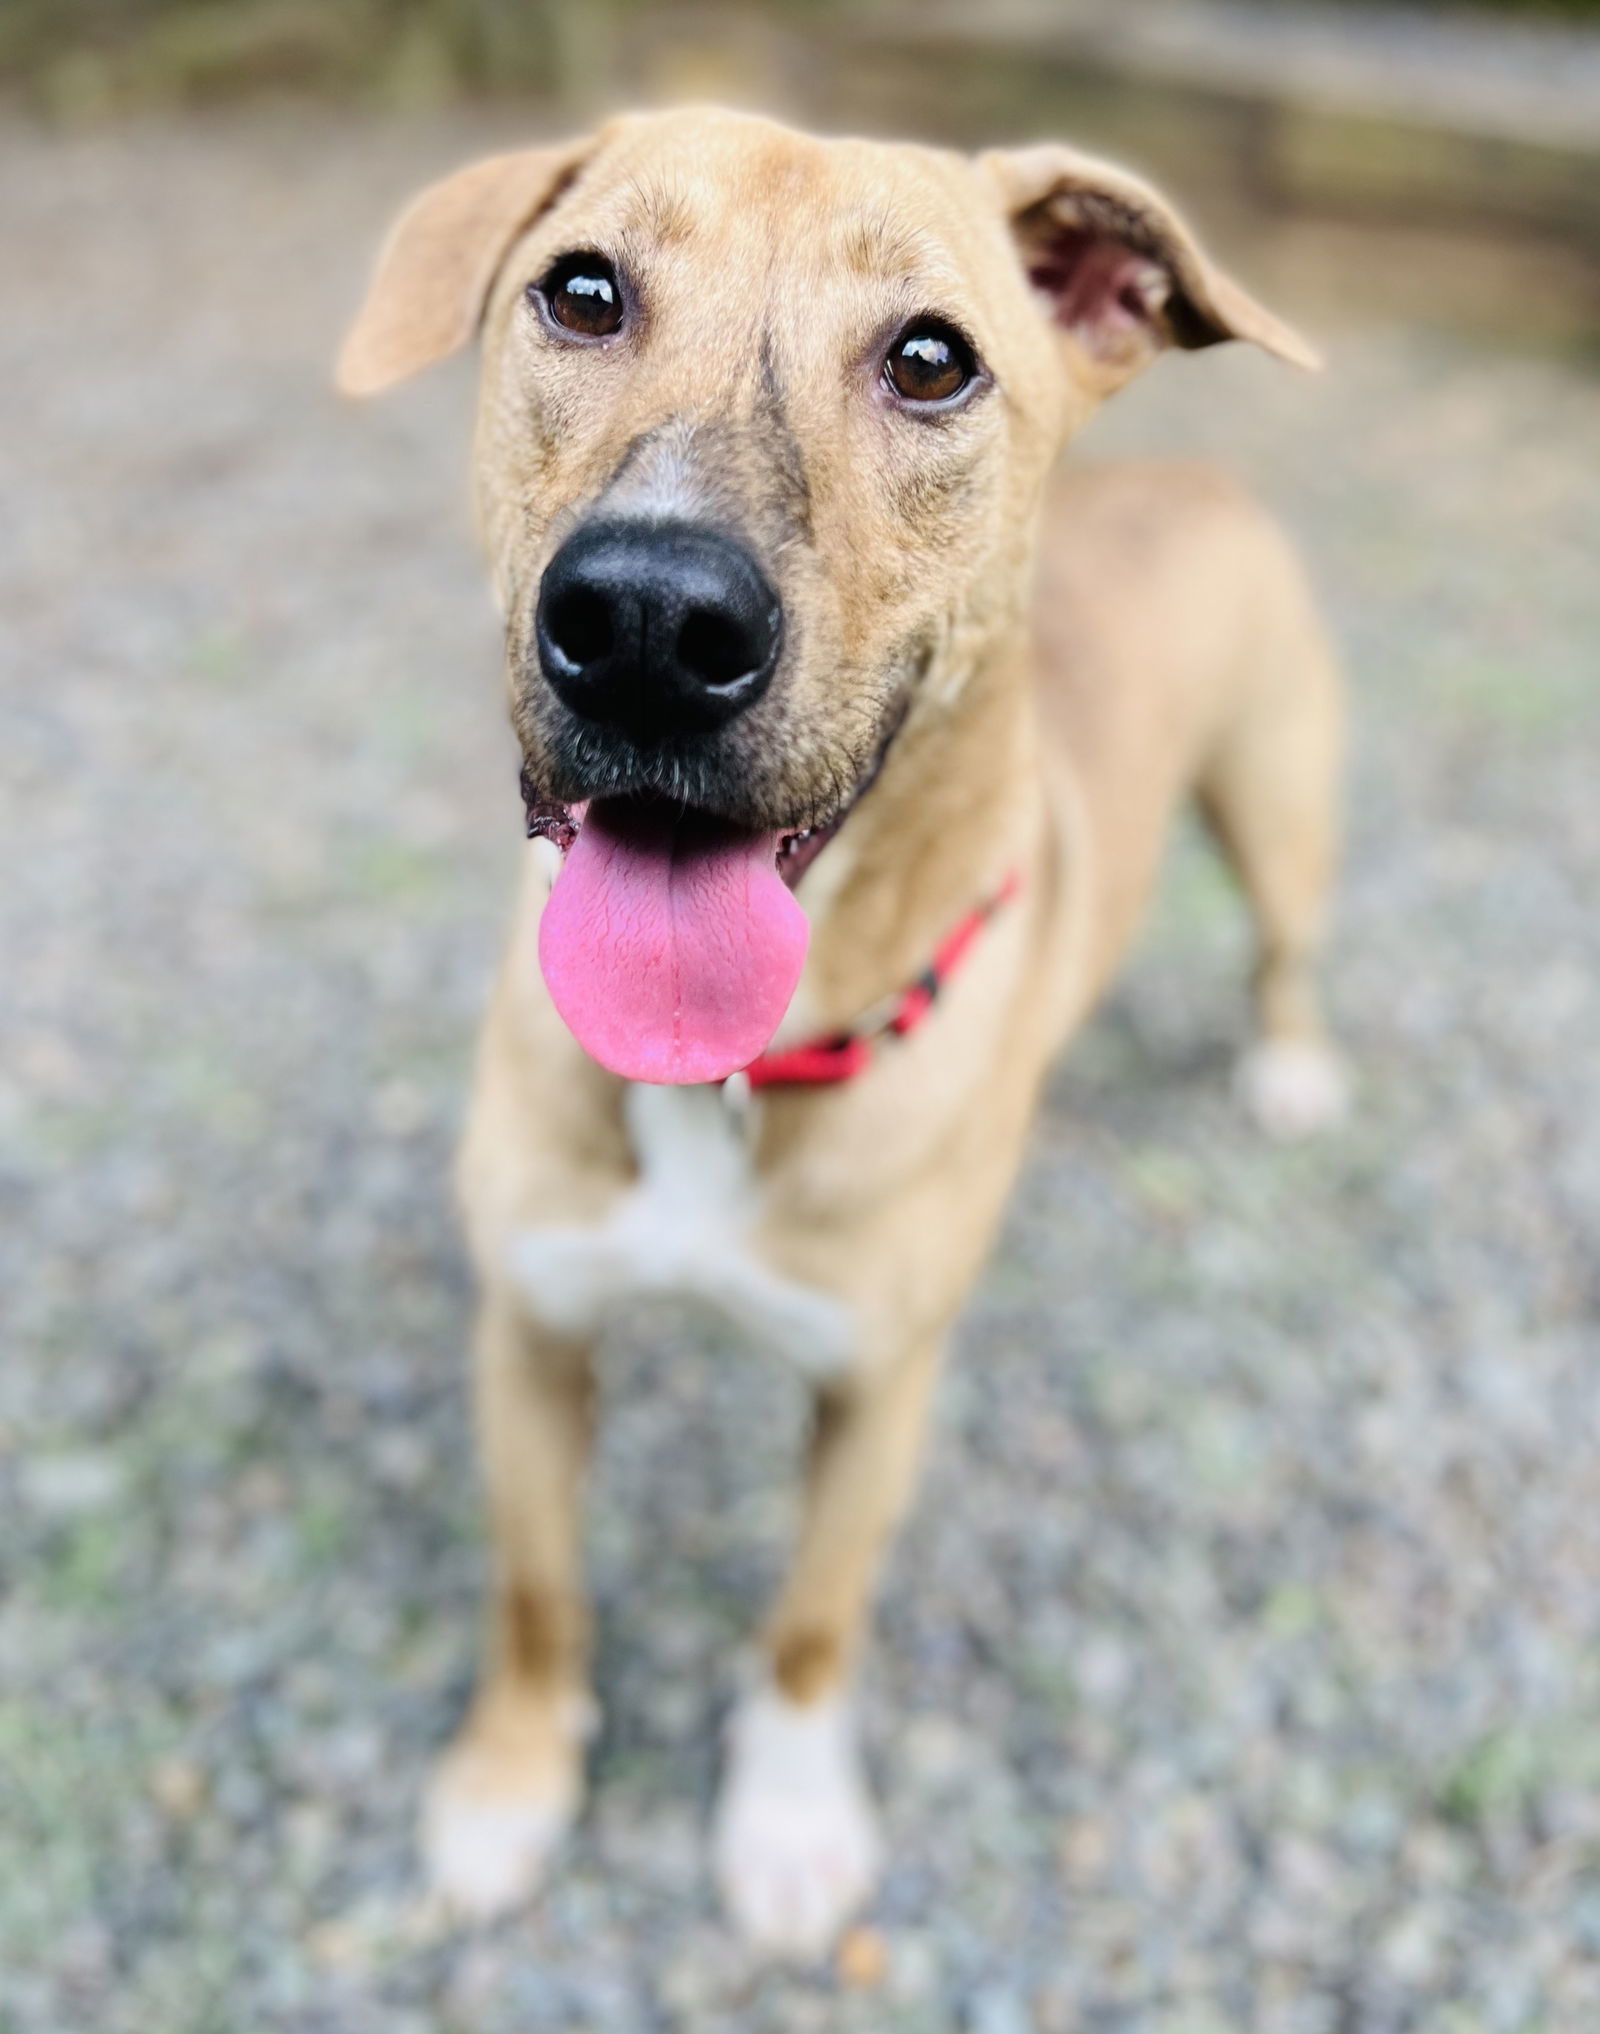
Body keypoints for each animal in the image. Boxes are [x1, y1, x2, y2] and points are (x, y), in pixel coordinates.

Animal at [341, 107, 1349, 1952]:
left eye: (932, 358)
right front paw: (512, 1778)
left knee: (1286, 948)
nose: (651, 622)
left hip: (1278, 808)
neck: (731, 1077)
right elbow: (535, 1588)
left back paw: (1293, 1062)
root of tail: (1200, 481)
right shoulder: (532, 1323)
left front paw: (790, 1819)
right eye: (581, 290)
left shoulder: (880, 1384)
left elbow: (812, 1618)